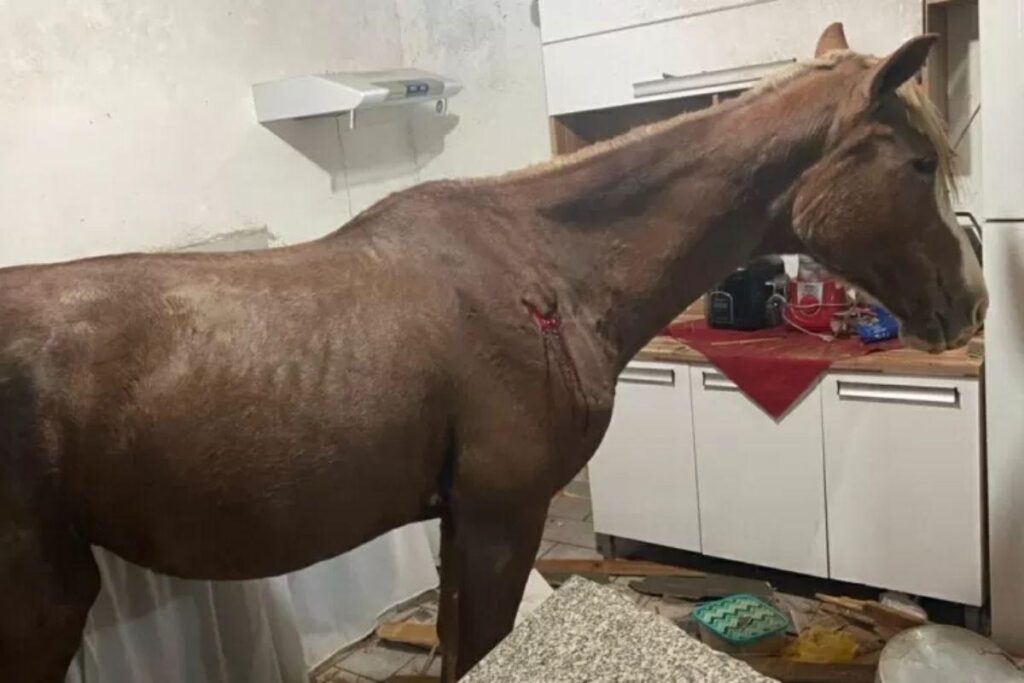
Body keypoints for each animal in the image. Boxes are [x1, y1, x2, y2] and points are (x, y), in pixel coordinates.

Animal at [0, 22, 987, 682]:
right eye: (915, 163)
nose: (973, 305)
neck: (544, 269)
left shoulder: (460, 521)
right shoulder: (499, 515)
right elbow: (479, 648)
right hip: (44, 604)